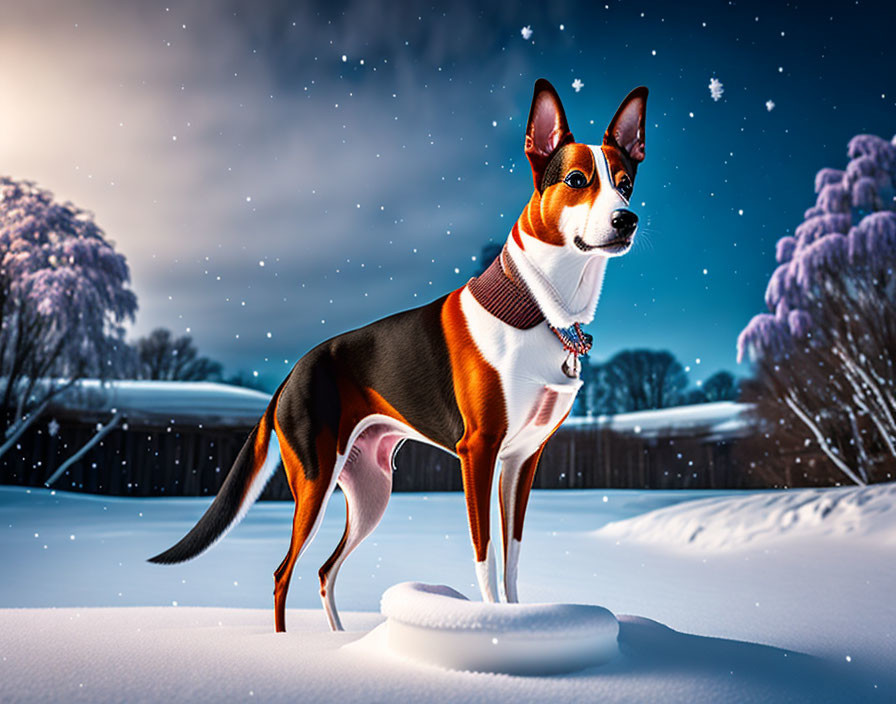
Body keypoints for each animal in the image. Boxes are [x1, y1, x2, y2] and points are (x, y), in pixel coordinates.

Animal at [150, 81, 648, 632]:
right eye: (578, 179)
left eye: (625, 183)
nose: (626, 219)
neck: (536, 306)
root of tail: (291, 375)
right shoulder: (479, 451)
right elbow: (486, 558)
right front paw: (491, 628)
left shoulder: (523, 459)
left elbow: (513, 560)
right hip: (315, 478)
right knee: (284, 573)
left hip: (371, 489)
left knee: (324, 569)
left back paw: (339, 639)